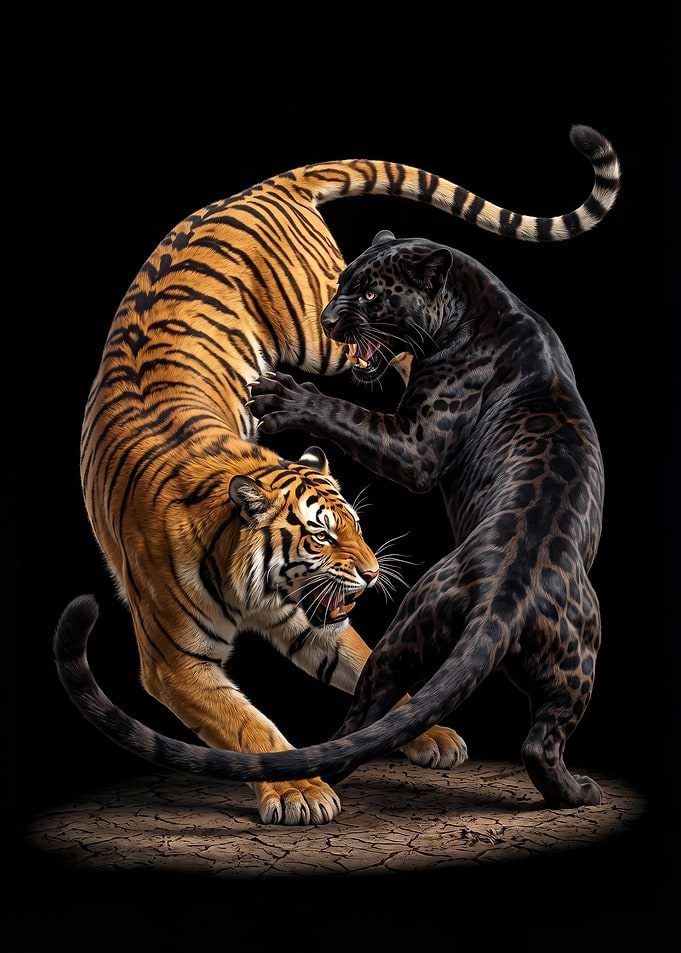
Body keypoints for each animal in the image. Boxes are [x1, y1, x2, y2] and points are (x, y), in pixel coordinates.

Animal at [55, 125, 620, 824]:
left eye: (354, 524)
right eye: (322, 534)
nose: (374, 574)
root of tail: (258, 187)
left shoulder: (320, 598)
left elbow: (362, 661)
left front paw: (423, 735)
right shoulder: (178, 663)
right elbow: (250, 724)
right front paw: (300, 788)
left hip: (328, 347)